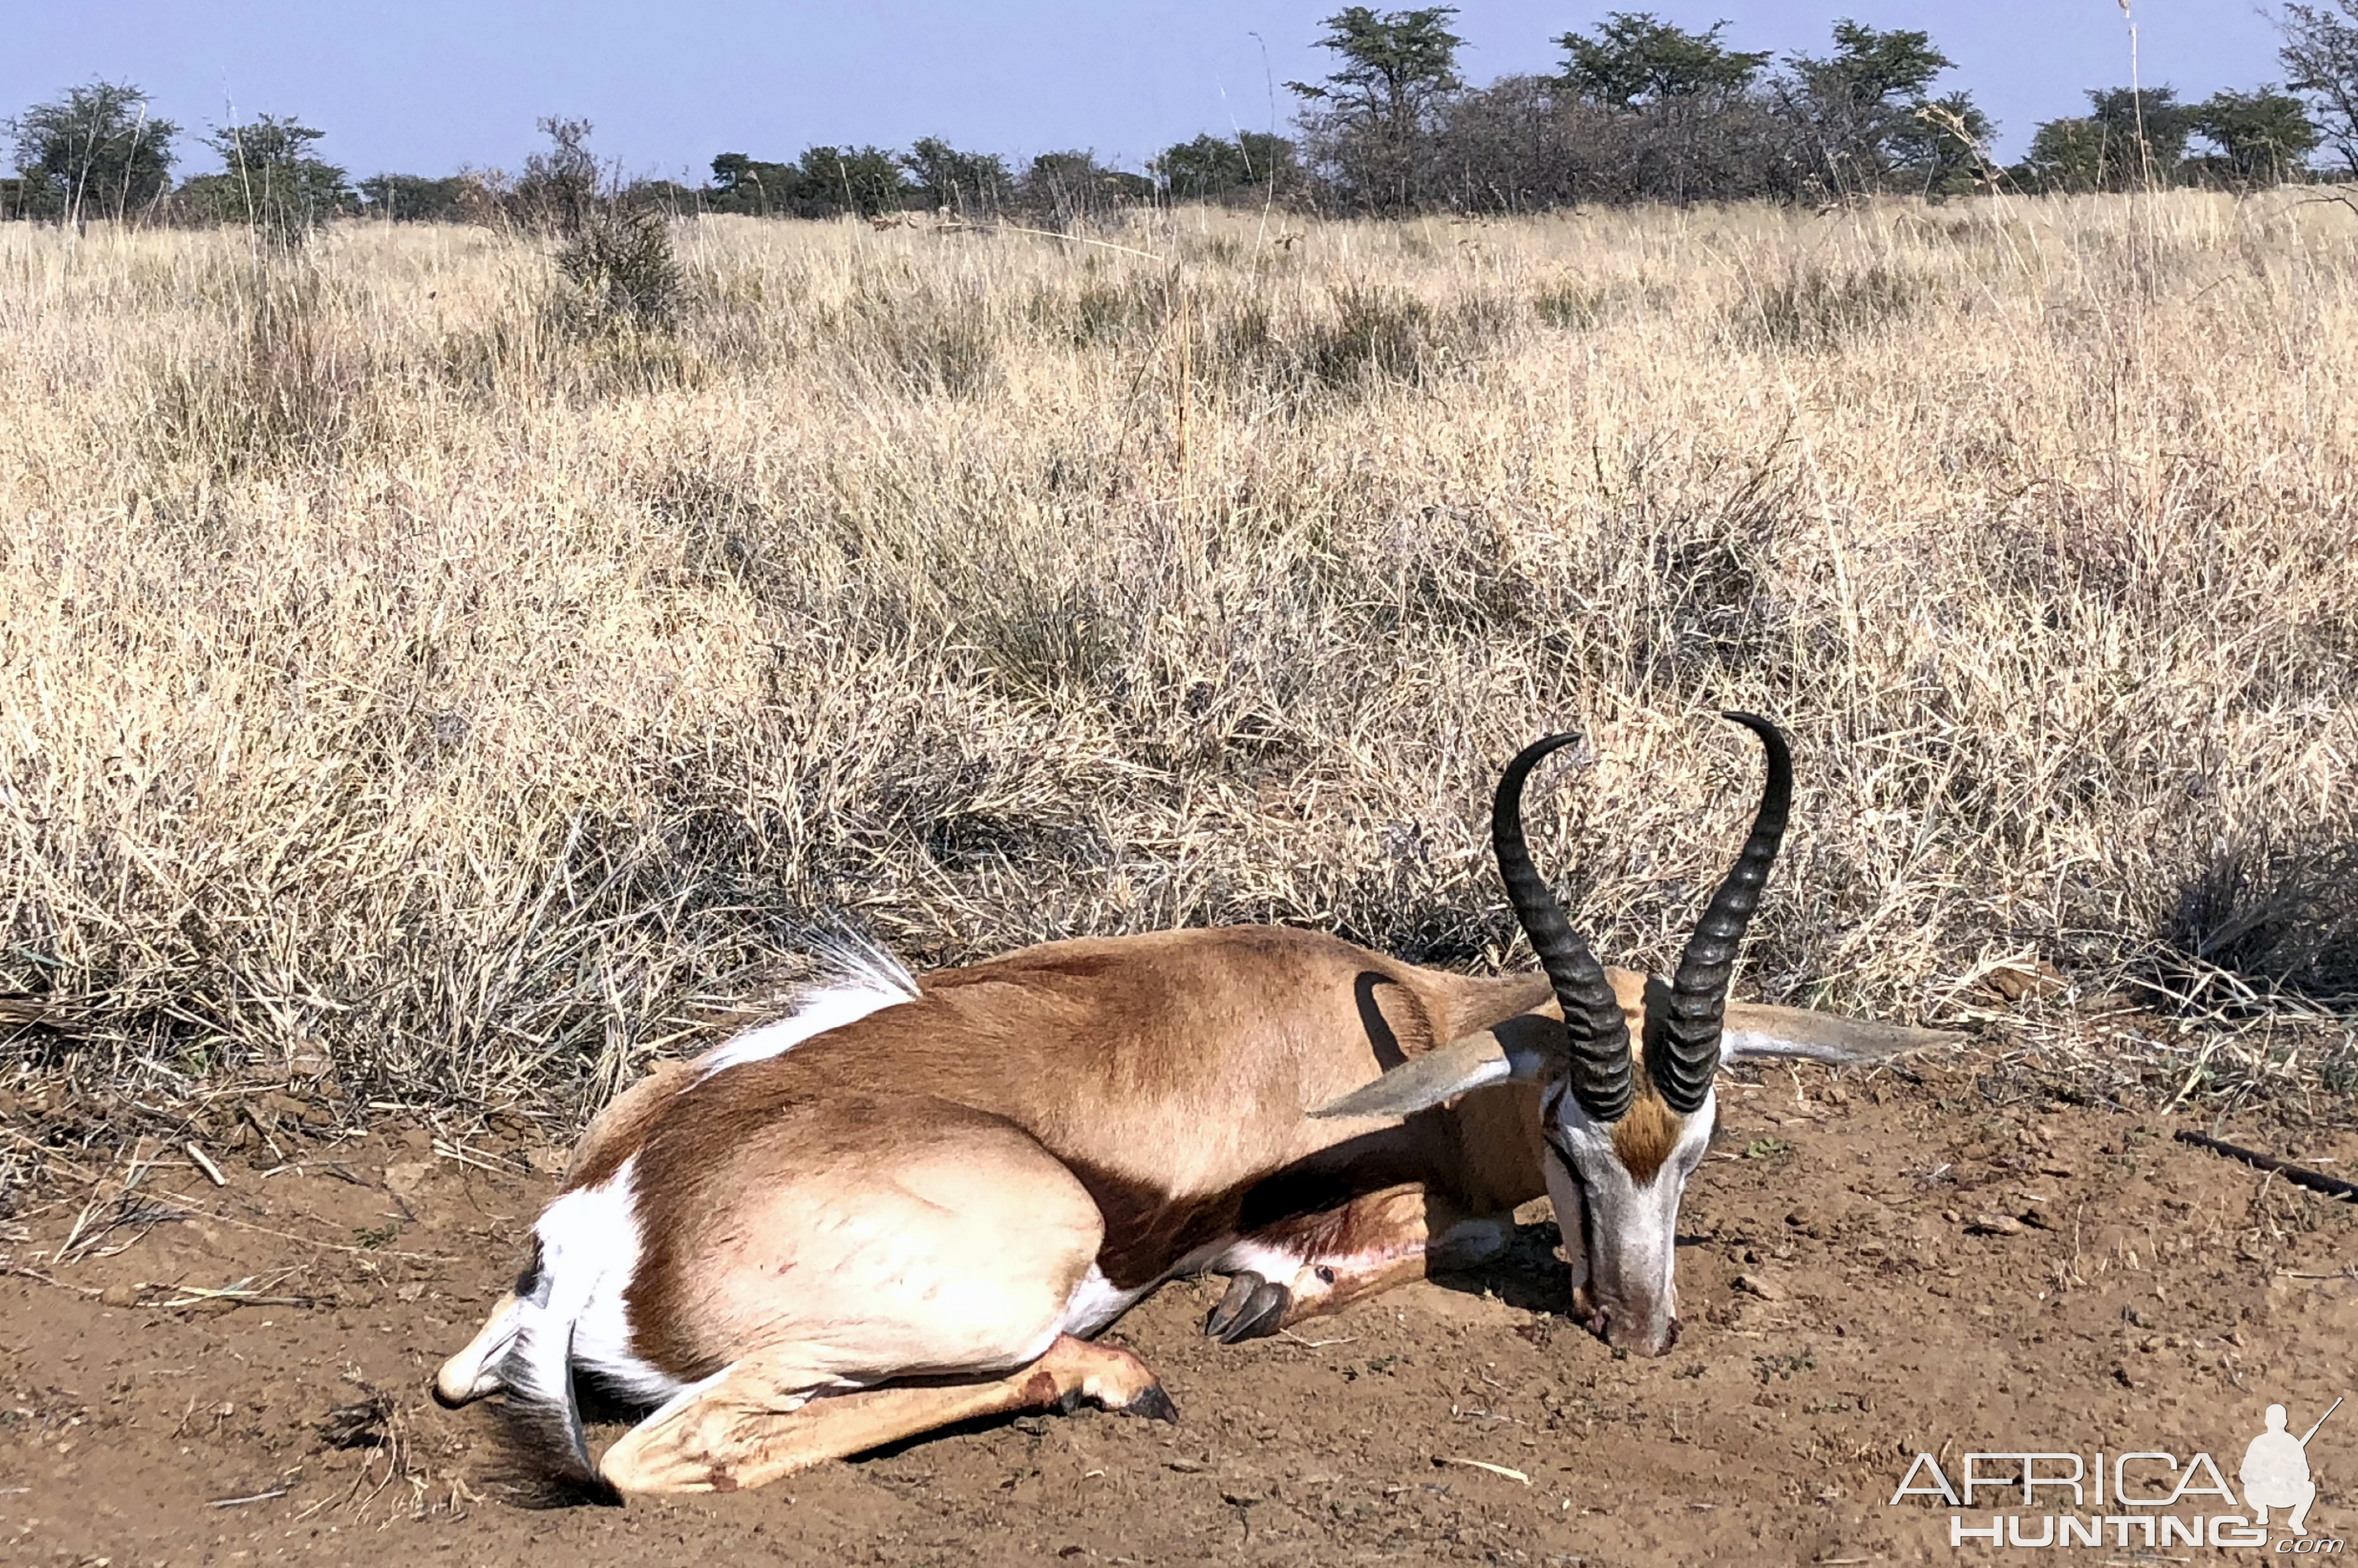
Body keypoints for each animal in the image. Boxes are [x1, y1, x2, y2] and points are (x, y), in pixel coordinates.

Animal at [434, 707, 1943, 1490]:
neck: (1393, 1017)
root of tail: (602, 1224)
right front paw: (1262, 1296)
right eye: (1570, 1140)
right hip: (1010, 1282)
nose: (1636, 1330)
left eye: (1696, 1142)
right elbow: (1451, 1232)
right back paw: (1116, 1374)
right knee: (666, 1456)